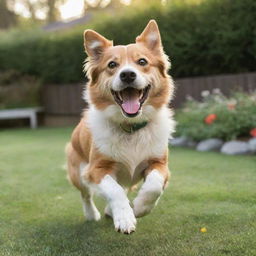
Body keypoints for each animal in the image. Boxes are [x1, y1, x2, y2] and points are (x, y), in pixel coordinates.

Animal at [65, 19, 175, 233]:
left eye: (142, 62)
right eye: (112, 65)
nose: (127, 75)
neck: (130, 127)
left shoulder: (159, 164)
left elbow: (153, 186)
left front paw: (139, 208)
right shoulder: (96, 169)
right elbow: (114, 191)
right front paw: (125, 218)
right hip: (78, 173)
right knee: (86, 195)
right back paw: (92, 214)